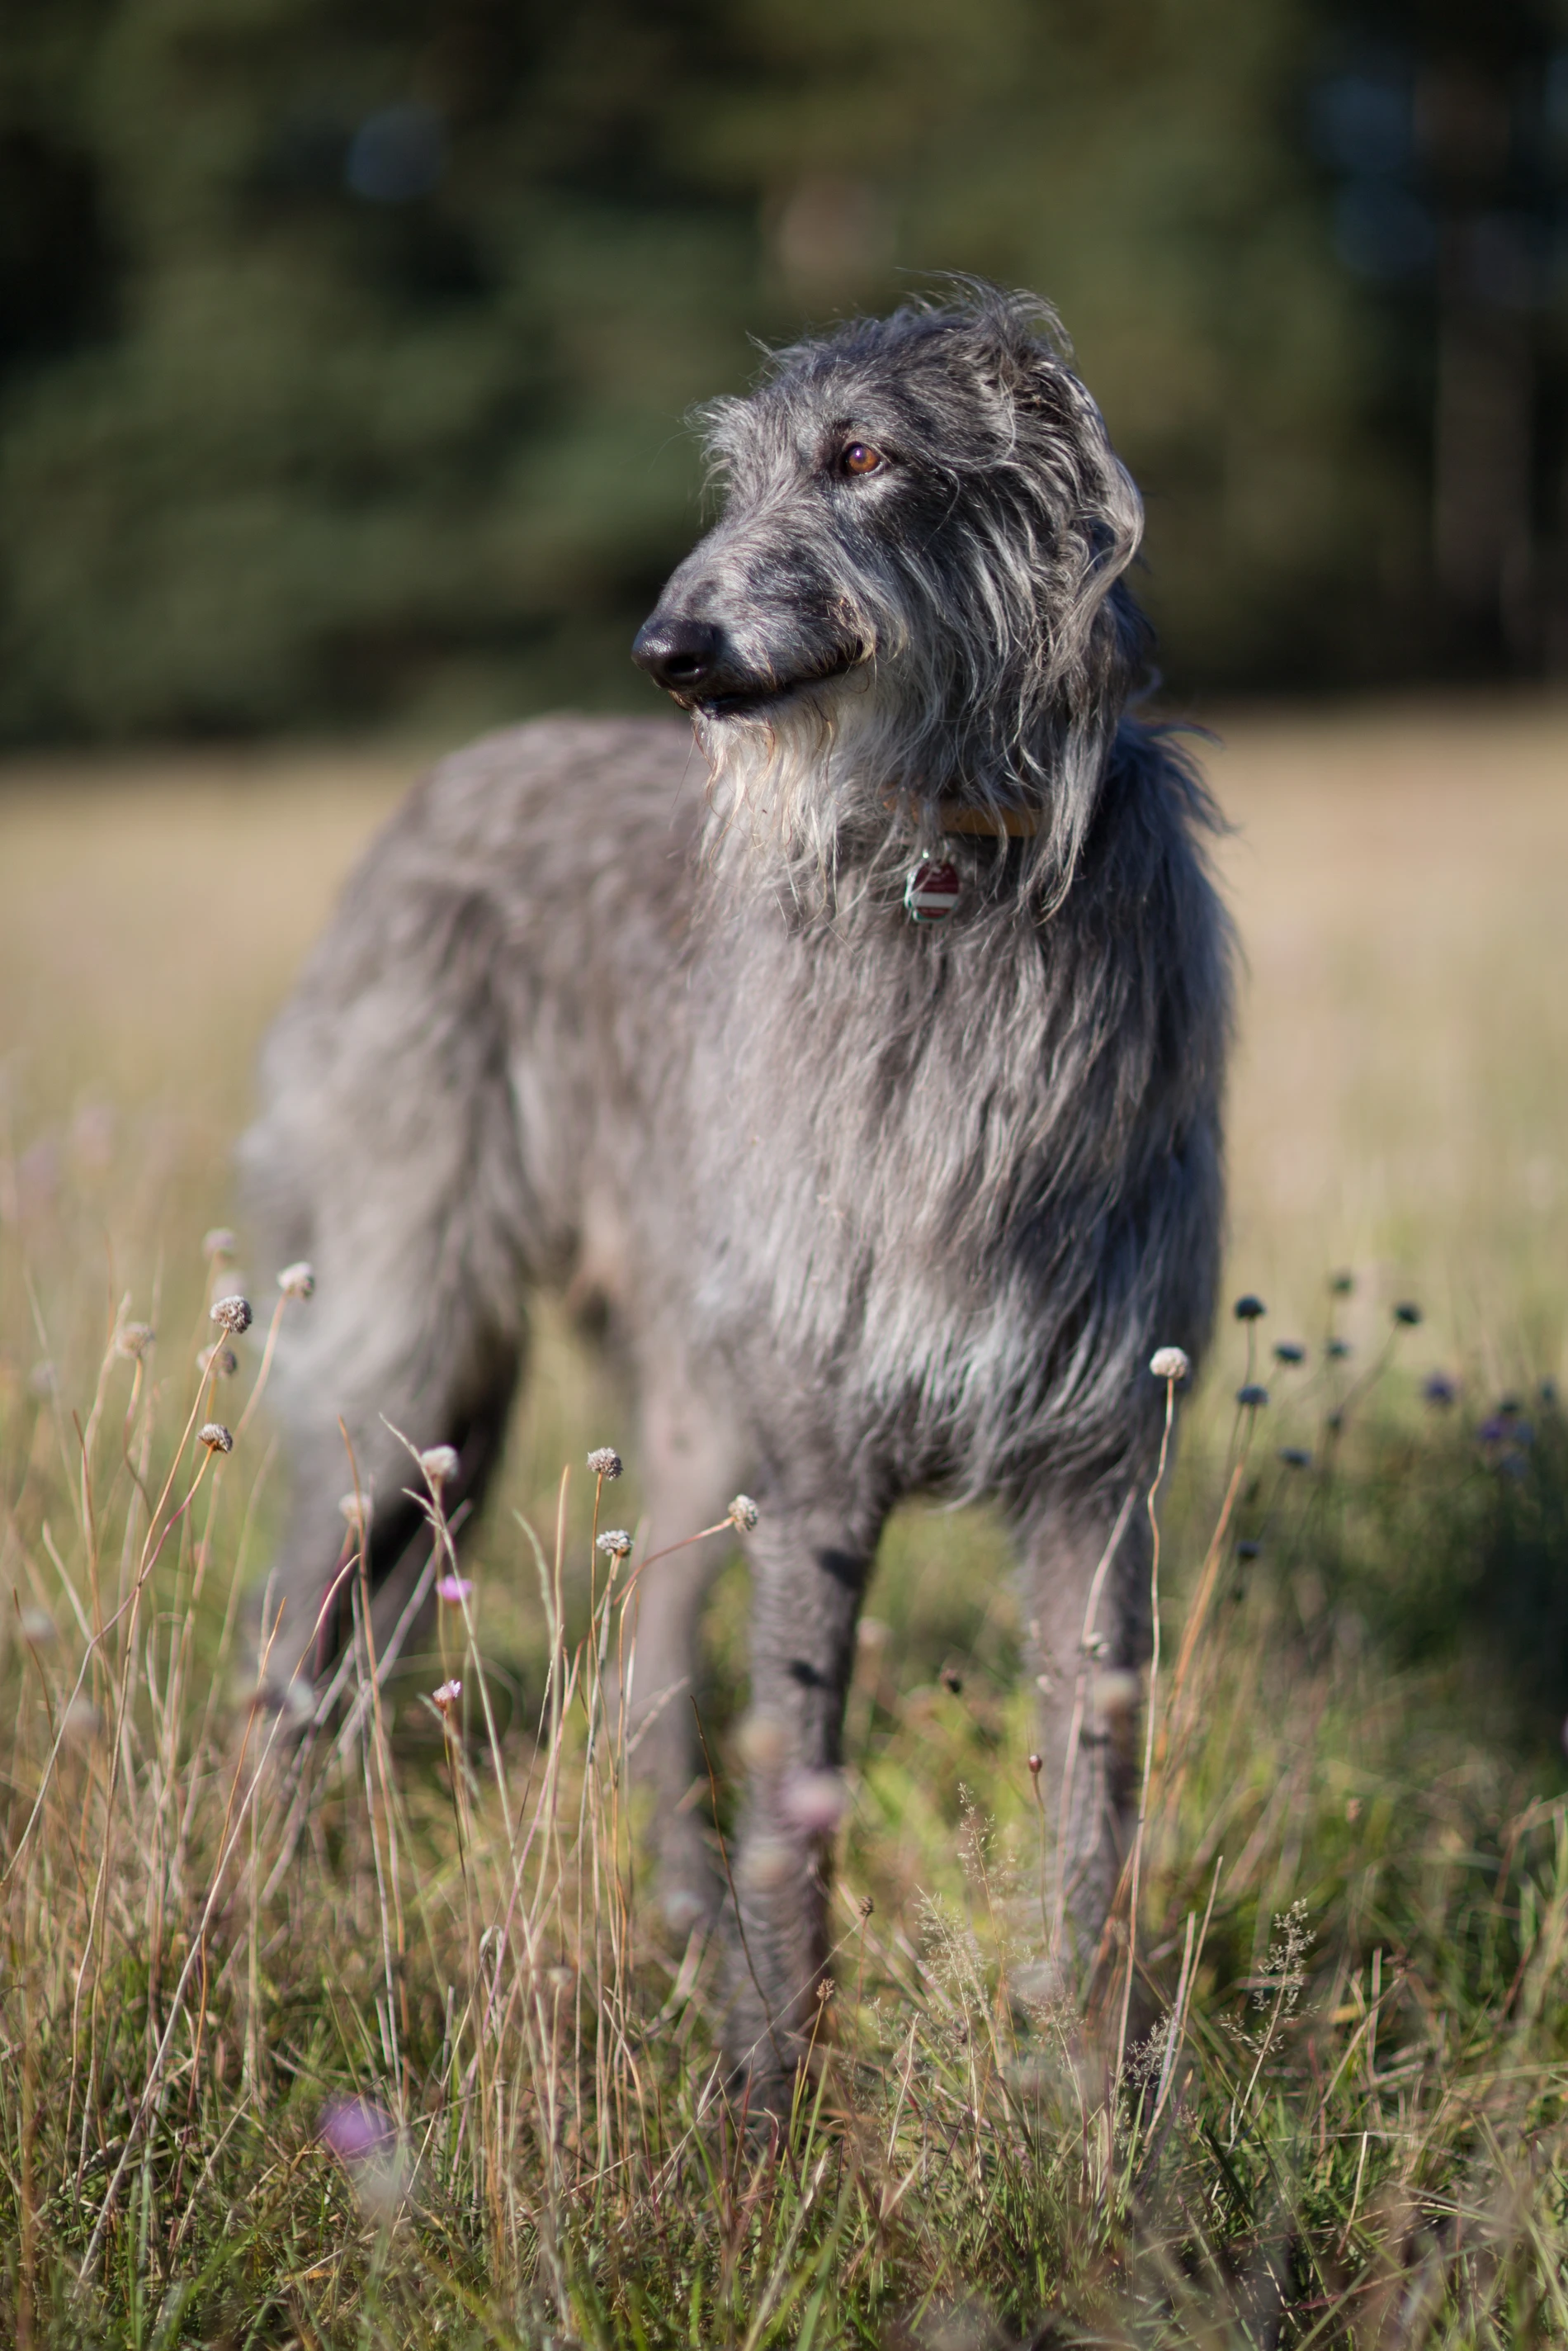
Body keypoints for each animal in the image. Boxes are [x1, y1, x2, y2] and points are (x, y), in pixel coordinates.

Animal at [239, 284, 1231, 2106]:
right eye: (742, 475)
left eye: (863, 457)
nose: (668, 652)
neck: (943, 871)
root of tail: (437, 784)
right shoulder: (822, 1463)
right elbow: (798, 1790)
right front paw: (772, 2101)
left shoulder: (1097, 1471)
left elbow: (1095, 1814)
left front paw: (1108, 2113)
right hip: (419, 1356)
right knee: (297, 1625)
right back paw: (240, 1898)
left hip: (687, 1412)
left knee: (641, 1668)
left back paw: (680, 1913)